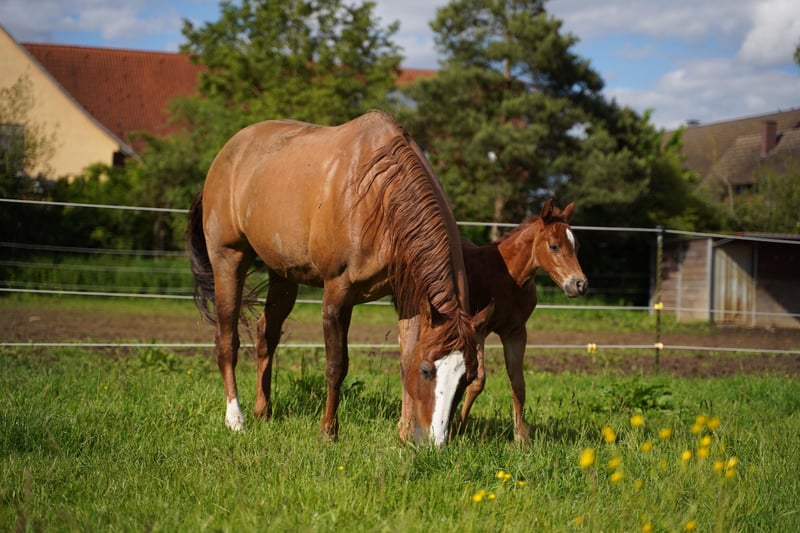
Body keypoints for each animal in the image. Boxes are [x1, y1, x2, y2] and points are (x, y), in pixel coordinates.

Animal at [187, 110, 489, 446]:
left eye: (466, 378)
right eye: (427, 371)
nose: (434, 444)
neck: (378, 194)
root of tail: (227, 152)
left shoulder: (410, 300)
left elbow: (404, 358)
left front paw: (403, 434)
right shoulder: (337, 292)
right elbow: (336, 365)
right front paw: (328, 431)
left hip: (282, 274)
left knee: (266, 335)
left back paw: (263, 411)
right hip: (228, 258)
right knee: (227, 339)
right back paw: (235, 419)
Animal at [398, 199, 587, 442]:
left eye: (577, 246)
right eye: (554, 246)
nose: (580, 285)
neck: (508, 278)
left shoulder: (516, 332)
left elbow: (518, 383)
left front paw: (521, 438)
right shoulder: (478, 330)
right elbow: (478, 380)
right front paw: (458, 427)